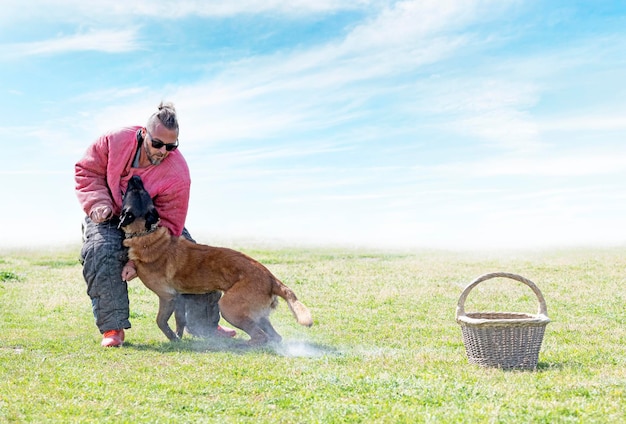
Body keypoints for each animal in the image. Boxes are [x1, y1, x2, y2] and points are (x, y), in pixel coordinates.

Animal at [117, 176, 312, 344]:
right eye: (143, 192)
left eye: (135, 191)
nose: (135, 177)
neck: (146, 235)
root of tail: (272, 279)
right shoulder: (179, 298)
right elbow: (180, 320)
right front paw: (179, 338)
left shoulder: (167, 297)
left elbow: (160, 321)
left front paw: (172, 338)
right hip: (259, 315)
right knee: (274, 337)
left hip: (228, 308)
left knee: (260, 336)